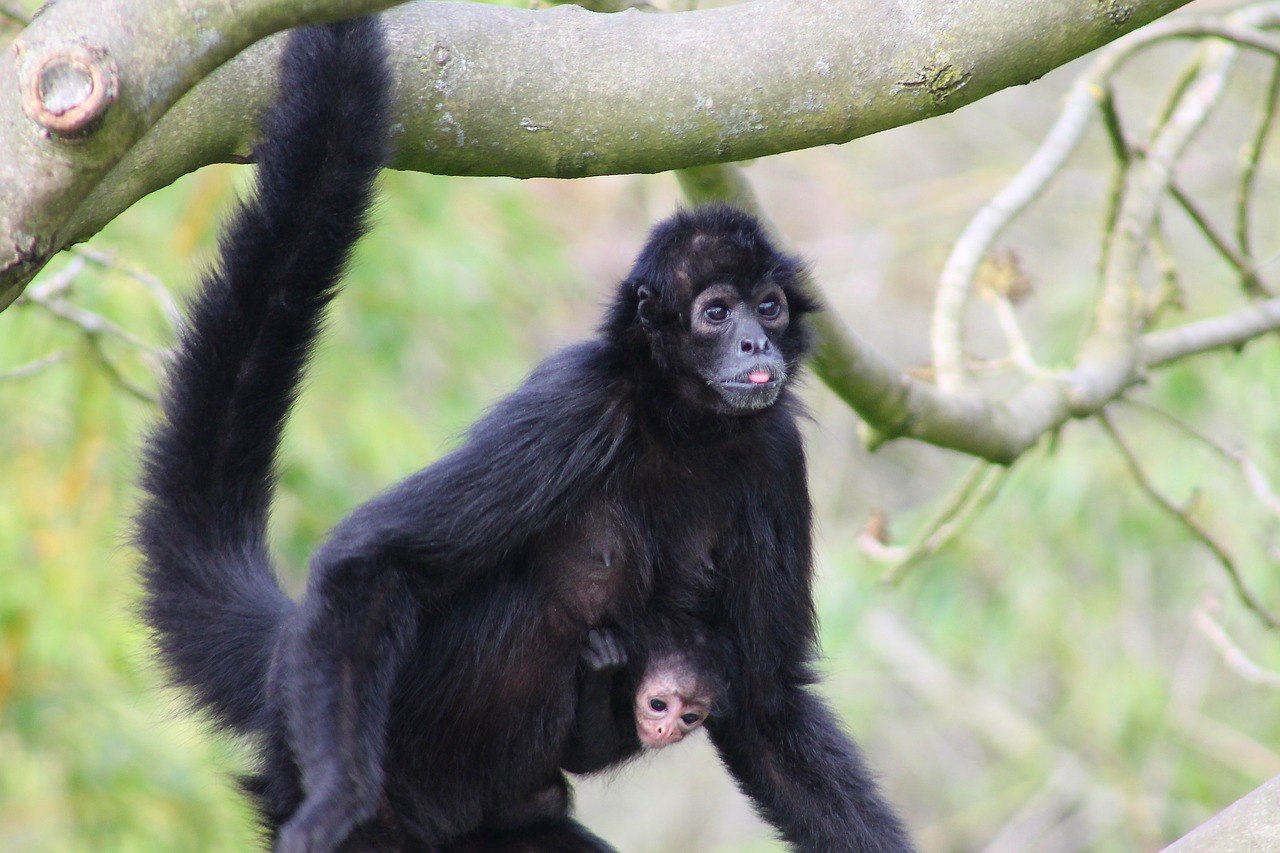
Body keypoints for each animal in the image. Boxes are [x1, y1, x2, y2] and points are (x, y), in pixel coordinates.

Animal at [135, 13, 916, 850]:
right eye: (715, 312)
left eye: (768, 306)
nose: (753, 344)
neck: (684, 427)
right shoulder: (579, 403)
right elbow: (376, 556)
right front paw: (336, 795)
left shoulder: (770, 452)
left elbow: (767, 701)